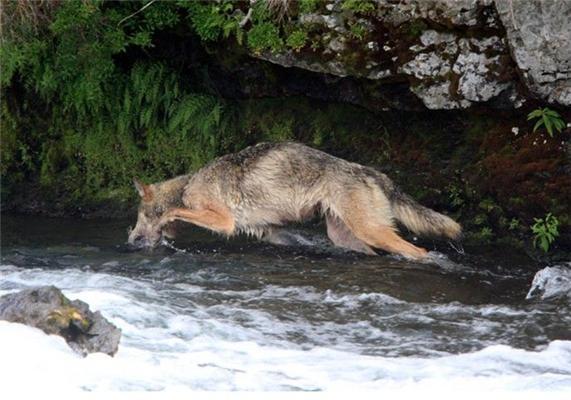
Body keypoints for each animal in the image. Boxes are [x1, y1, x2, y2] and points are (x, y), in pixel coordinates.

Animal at [128, 142, 460, 260]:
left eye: (139, 216)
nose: (130, 241)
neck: (187, 186)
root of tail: (373, 172)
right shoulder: (274, 234)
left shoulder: (224, 221)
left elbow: (178, 212)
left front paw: (169, 219)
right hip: (345, 237)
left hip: (371, 231)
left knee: (419, 251)